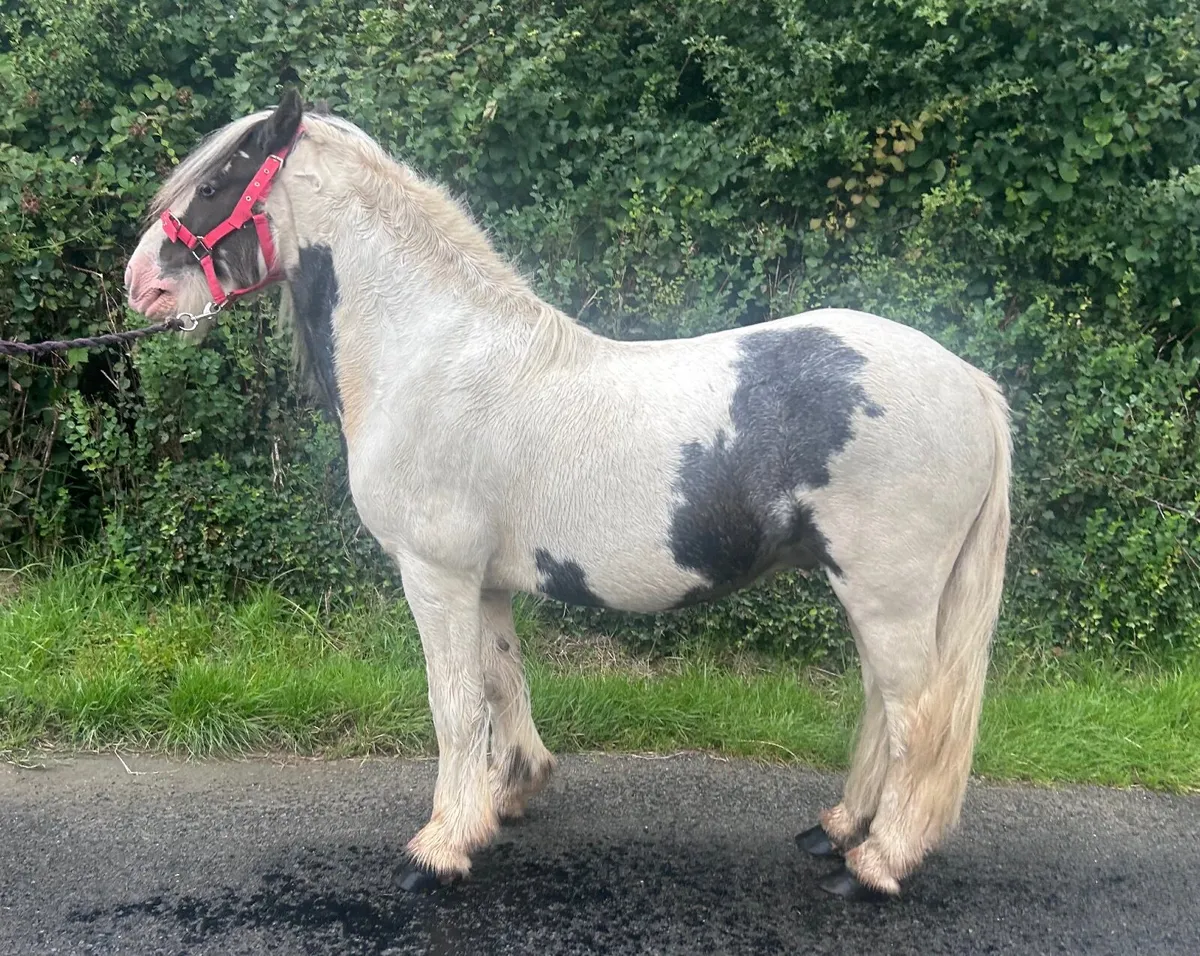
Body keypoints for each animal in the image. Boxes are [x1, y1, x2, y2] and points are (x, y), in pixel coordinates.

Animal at [124, 88, 1011, 902]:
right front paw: (505, 800)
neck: (433, 355)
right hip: (872, 594)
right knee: (881, 708)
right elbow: (500, 685)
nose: (141, 287)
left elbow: (454, 703)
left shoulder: (435, 575)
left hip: (888, 594)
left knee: (917, 717)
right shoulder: (482, 585)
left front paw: (439, 849)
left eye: (213, 186)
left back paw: (879, 863)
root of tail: (970, 383)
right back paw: (838, 829)